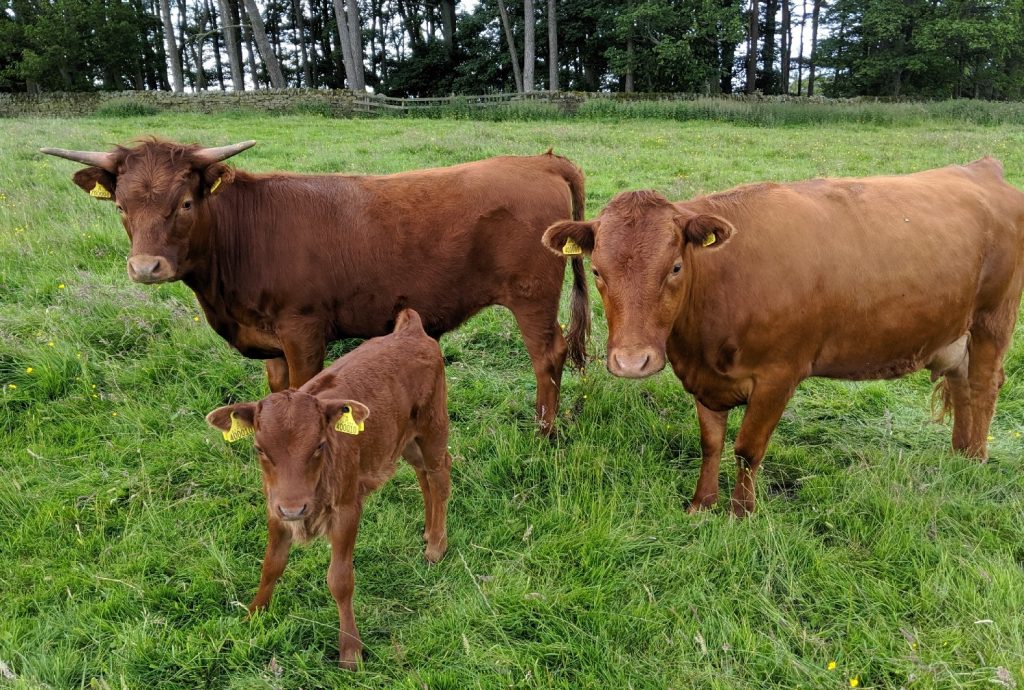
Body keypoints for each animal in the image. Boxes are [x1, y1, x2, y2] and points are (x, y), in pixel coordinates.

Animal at [41, 137, 593, 432]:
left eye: (186, 203)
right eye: (120, 206)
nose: (145, 267)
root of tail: (540, 159)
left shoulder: (302, 329)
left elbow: (304, 391)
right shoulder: (271, 341)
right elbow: (277, 391)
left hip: (531, 294)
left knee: (548, 355)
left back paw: (543, 432)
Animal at [205, 307, 450, 667]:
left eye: (319, 445)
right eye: (260, 449)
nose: (295, 507)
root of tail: (410, 329)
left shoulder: (348, 509)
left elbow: (340, 579)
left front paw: (350, 650)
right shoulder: (275, 508)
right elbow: (271, 565)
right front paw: (253, 616)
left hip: (434, 426)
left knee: (440, 473)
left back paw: (436, 546)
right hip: (405, 438)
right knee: (423, 476)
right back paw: (428, 532)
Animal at [544, 158, 1024, 513]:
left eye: (675, 267)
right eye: (598, 271)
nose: (631, 362)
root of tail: (983, 169)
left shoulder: (779, 375)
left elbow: (747, 449)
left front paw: (740, 513)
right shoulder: (705, 379)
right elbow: (711, 444)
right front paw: (701, 505)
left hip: (993, 318)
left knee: (984, 385)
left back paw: (975, 462)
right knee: (962, 384)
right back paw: (959, 454)